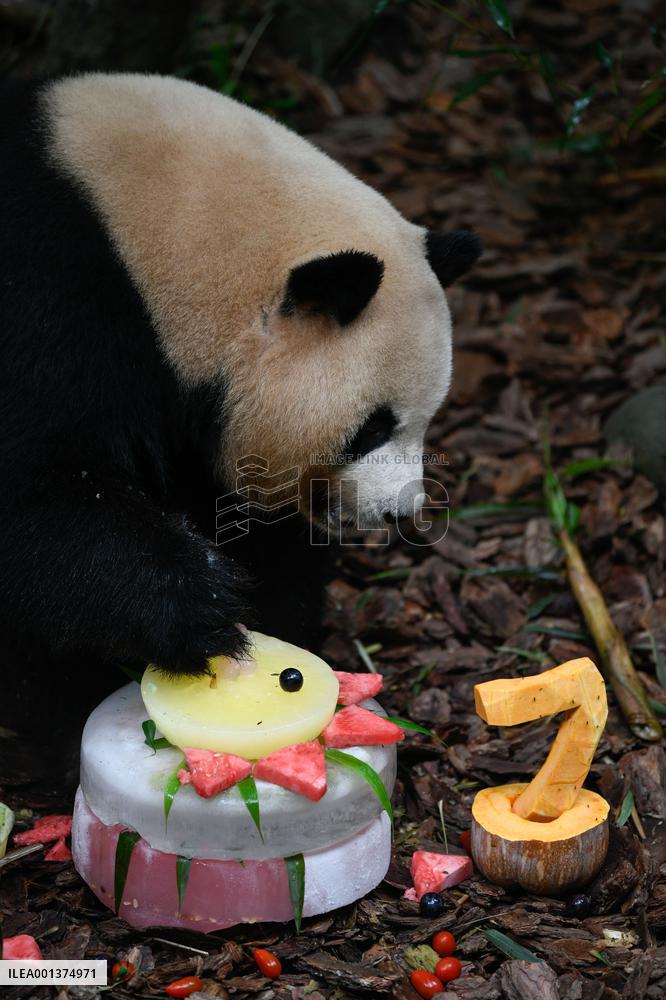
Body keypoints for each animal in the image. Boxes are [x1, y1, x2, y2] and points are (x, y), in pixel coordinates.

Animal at [0, 73, 480, 778]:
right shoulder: (47, 303)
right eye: (372, 427)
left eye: (428, 418)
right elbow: (35, 489)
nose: (399, 511)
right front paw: (197, 612)